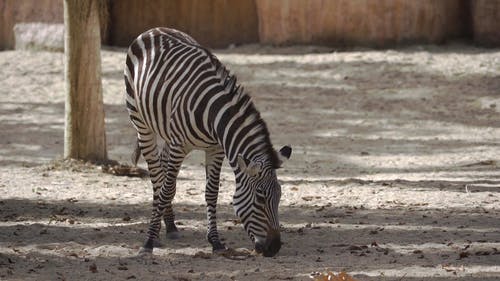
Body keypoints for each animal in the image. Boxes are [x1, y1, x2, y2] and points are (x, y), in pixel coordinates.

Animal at [123, 27, 292, 258]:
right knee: (158, 179)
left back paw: (171, 226)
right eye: (260, 198)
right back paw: (156, 232)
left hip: (166, 131)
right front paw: (148, 242)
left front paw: (215, 241)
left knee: (164, 170)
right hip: (142, 124)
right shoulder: (179, 146)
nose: (274, 248)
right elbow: (167, 189)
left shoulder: (216, 149)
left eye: (280, 196)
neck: (214, 115)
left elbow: (211, 193)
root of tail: (154, 29)